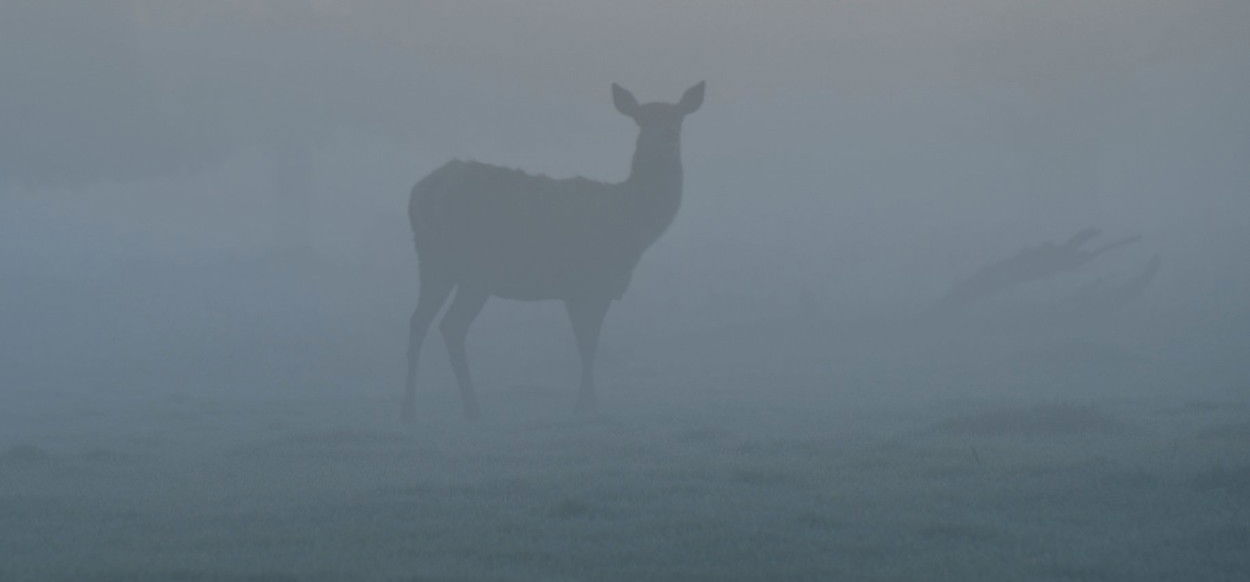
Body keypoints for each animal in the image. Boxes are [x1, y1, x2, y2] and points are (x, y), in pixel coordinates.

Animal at [402, 80, 705, 422]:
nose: (666, 139)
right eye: (641, 120)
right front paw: (585, 406)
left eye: (678, 119)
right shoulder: (585, 284)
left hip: (435, 264)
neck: (630, 227)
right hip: (471, 270)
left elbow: (588, 343)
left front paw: (586, 404)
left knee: (424, 322)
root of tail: (418, 195)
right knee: (448, 325)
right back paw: (467, 407)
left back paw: (414, 409)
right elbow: (587, 344)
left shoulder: (593, 289)